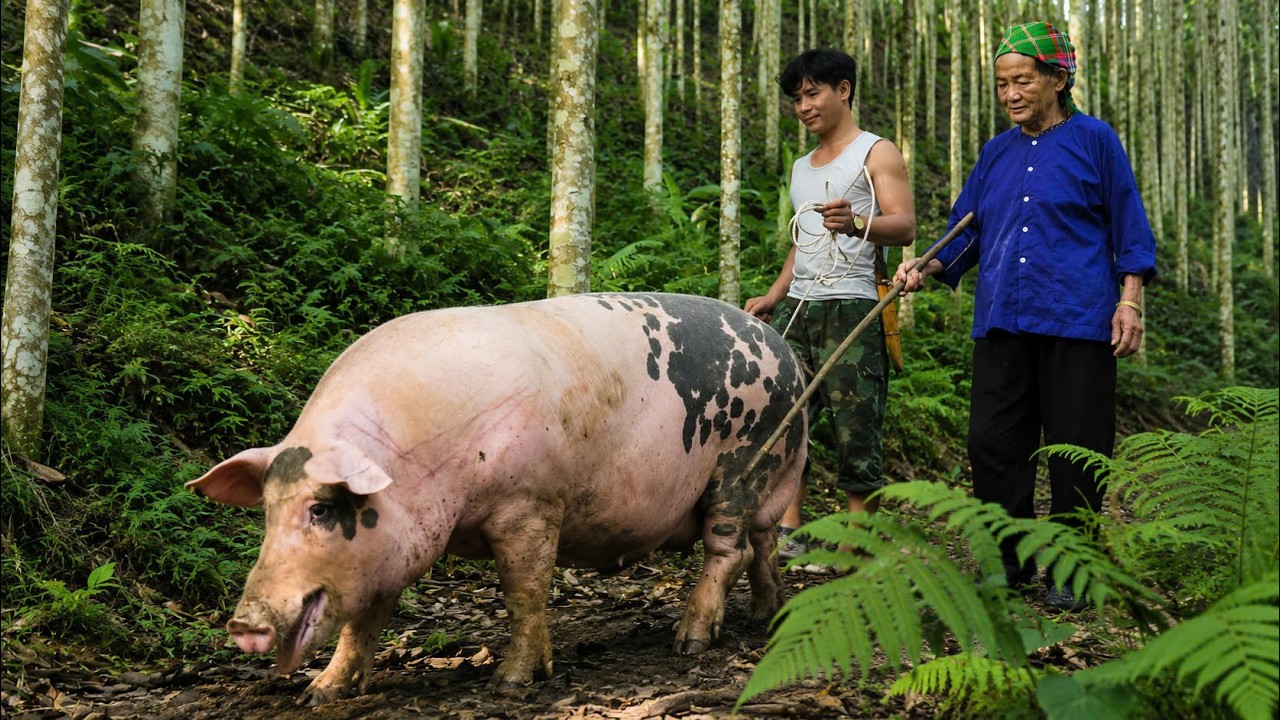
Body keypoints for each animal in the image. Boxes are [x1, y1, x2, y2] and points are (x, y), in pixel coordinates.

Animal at [187, 292, 807, 705]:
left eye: (319, 509)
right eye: (267, 512)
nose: (243, 624)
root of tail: (787, 355)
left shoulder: (530, 502)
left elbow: (523, 592)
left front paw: (509, 684)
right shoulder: (384, 554)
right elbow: (362, 621)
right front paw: (320, 693)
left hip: (743, 460)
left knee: (729, 549)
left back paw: (690, 643)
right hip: (771, 475)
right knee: (765, 543)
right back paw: (766, 616)